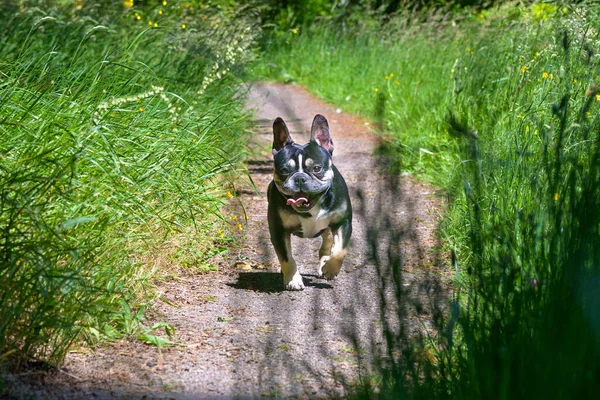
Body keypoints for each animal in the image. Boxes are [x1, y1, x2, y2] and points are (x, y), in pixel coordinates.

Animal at [268, 114, 352, 290]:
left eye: (317, 168)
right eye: (284, 170)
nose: (300, 178)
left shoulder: (343, 221)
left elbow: (341, 250)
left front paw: (330, 269)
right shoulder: (278, 230)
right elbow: (286, 257)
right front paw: (293, 279)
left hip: (329, 228)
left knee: (327, 243)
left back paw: (324, 264)